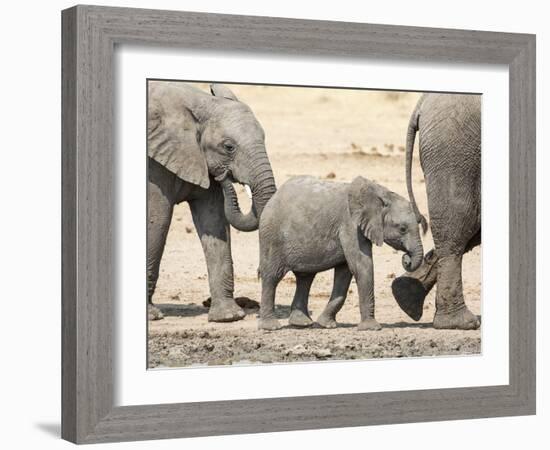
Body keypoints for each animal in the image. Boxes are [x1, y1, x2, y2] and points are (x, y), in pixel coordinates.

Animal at [148, 82, 276, 322]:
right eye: (228, 147)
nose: (224, 175)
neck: (201, 103)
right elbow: (157, 219)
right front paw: (151, 316)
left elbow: (214, 220)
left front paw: (228, 317)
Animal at [258, 176, 426, 330]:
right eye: (402, 229)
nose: (407, 259)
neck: (381, 194)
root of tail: (273, 198)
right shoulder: (350, 225)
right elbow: (361, 266)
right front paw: (371, 328)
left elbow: (345, 273)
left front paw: (327, 324)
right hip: (272, 236)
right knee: (272, 276)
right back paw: (271, 327)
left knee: (305, 278)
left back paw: (302, 323)